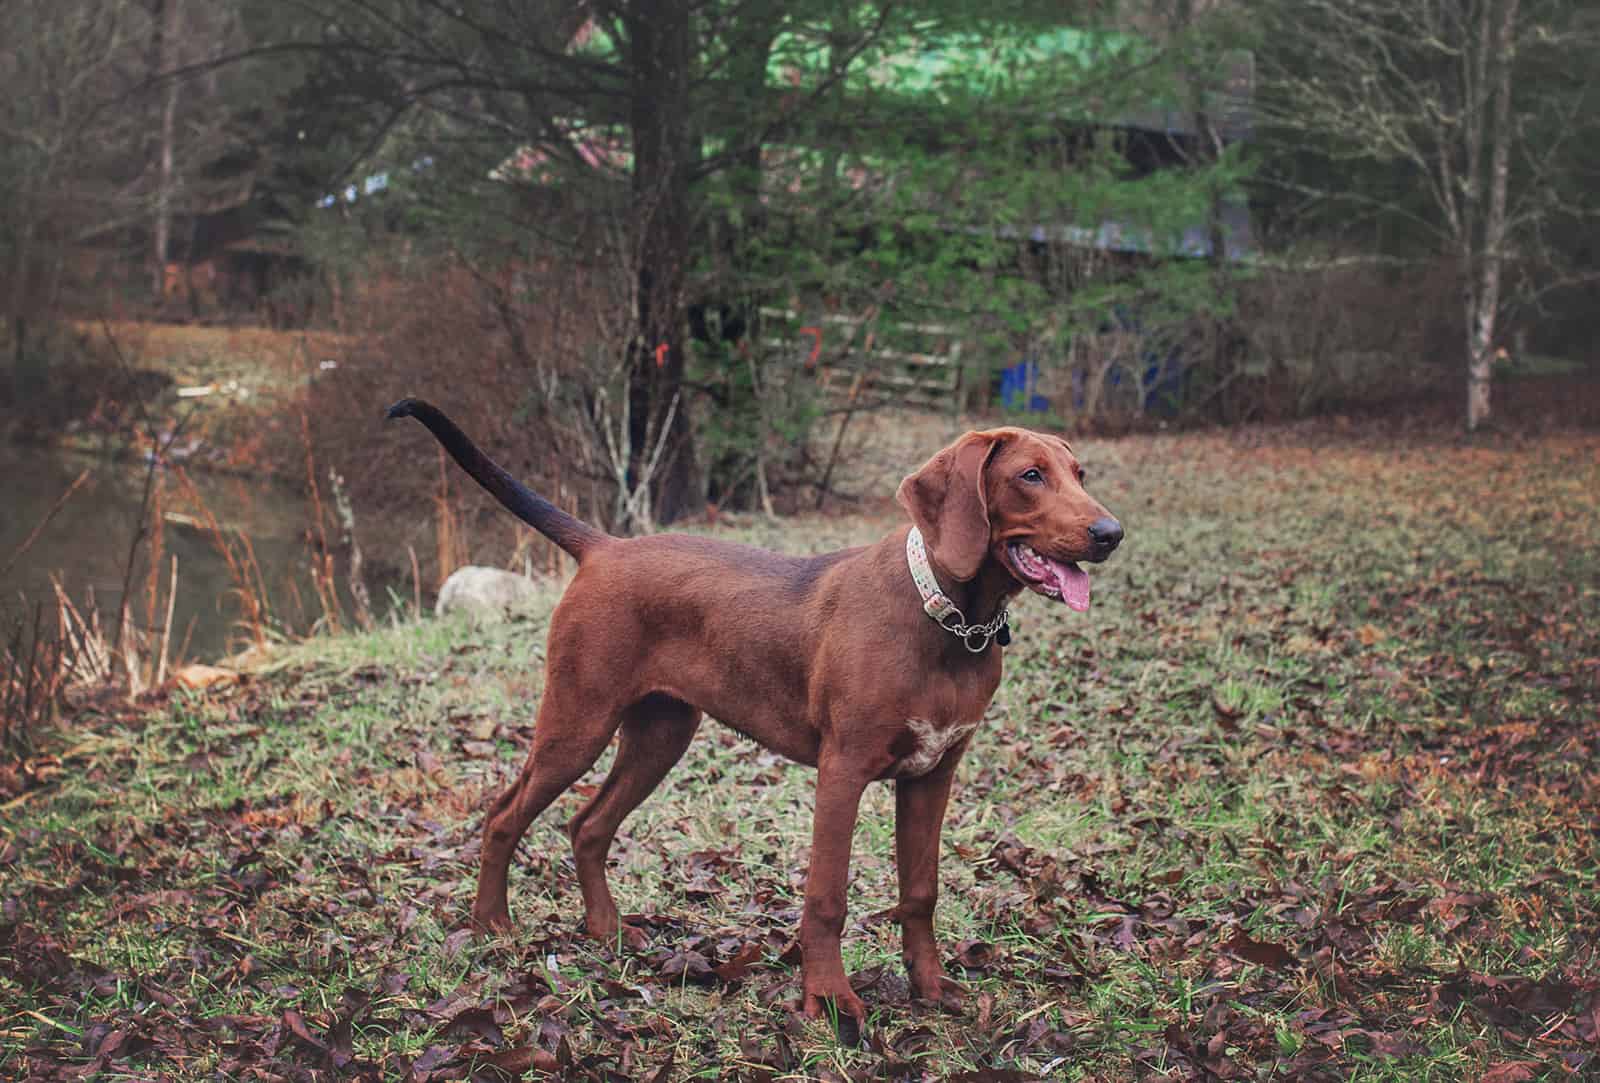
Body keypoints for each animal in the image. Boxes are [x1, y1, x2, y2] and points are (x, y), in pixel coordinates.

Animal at [384, 396, 1126, 1023]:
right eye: (1030, 475)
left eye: (1079, 473)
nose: (1111, 532)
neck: (948, 620)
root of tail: (606, 547)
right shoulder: (843, 770)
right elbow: (827, 896)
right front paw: (829, 1000)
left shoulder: (932, 774)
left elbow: (921, 891)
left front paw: (932, 988)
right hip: (577, 719)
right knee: (504, 815)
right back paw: (493, 927)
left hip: (660, 734)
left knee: (587, 825)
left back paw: (607, 930)